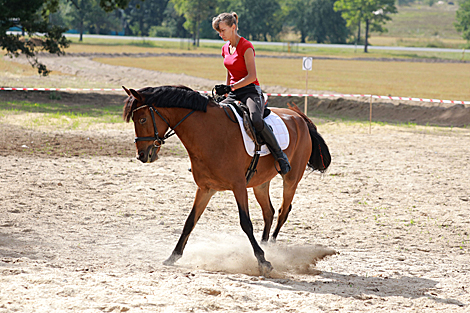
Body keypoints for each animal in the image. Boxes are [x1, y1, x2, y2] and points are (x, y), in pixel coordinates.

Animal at [123, 85, 332, 276]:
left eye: (142, 119)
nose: (141, 155)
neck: (210, 134)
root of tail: (299, 118)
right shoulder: (205, 188)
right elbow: (190, 221)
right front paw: (173, 256)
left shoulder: (239, 186)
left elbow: (245, 223)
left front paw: (263, 261)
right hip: (260, 183)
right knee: (269, 212)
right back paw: (266, 245)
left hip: (291, 179)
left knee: (282, 211)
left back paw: (271, 248)